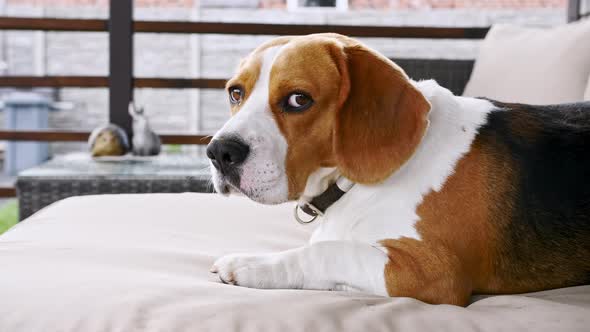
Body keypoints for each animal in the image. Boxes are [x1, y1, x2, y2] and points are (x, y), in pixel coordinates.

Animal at [207, 33, 590, 306]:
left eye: (299, 99)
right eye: (236, 93)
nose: (219, 152)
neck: (353, 186)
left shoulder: (431, 272)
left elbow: (327, 251)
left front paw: (253, 264)